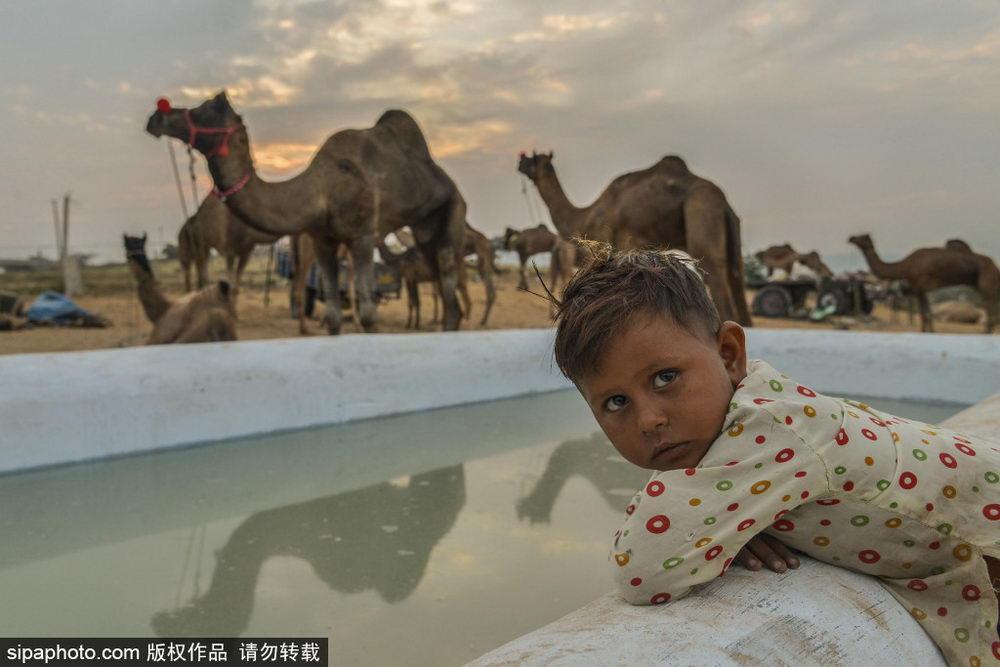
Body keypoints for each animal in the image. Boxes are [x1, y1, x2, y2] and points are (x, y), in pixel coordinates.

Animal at [146, 90, 466, 334]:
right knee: (444, 287)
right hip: (425, 233)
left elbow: (367, 314)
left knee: (449, 287)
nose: (156, 118)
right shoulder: (322, 239)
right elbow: (333, 316)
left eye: (206, 108)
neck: (320, 189)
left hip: (453, 211)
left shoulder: (363, 236)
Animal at [524, 149, 752, 326]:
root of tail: (724, 203)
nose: (520, 161)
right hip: (731, 230)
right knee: (738, 281)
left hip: (701, 211)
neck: (587, 214)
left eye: (533, 158)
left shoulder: (607, 242)